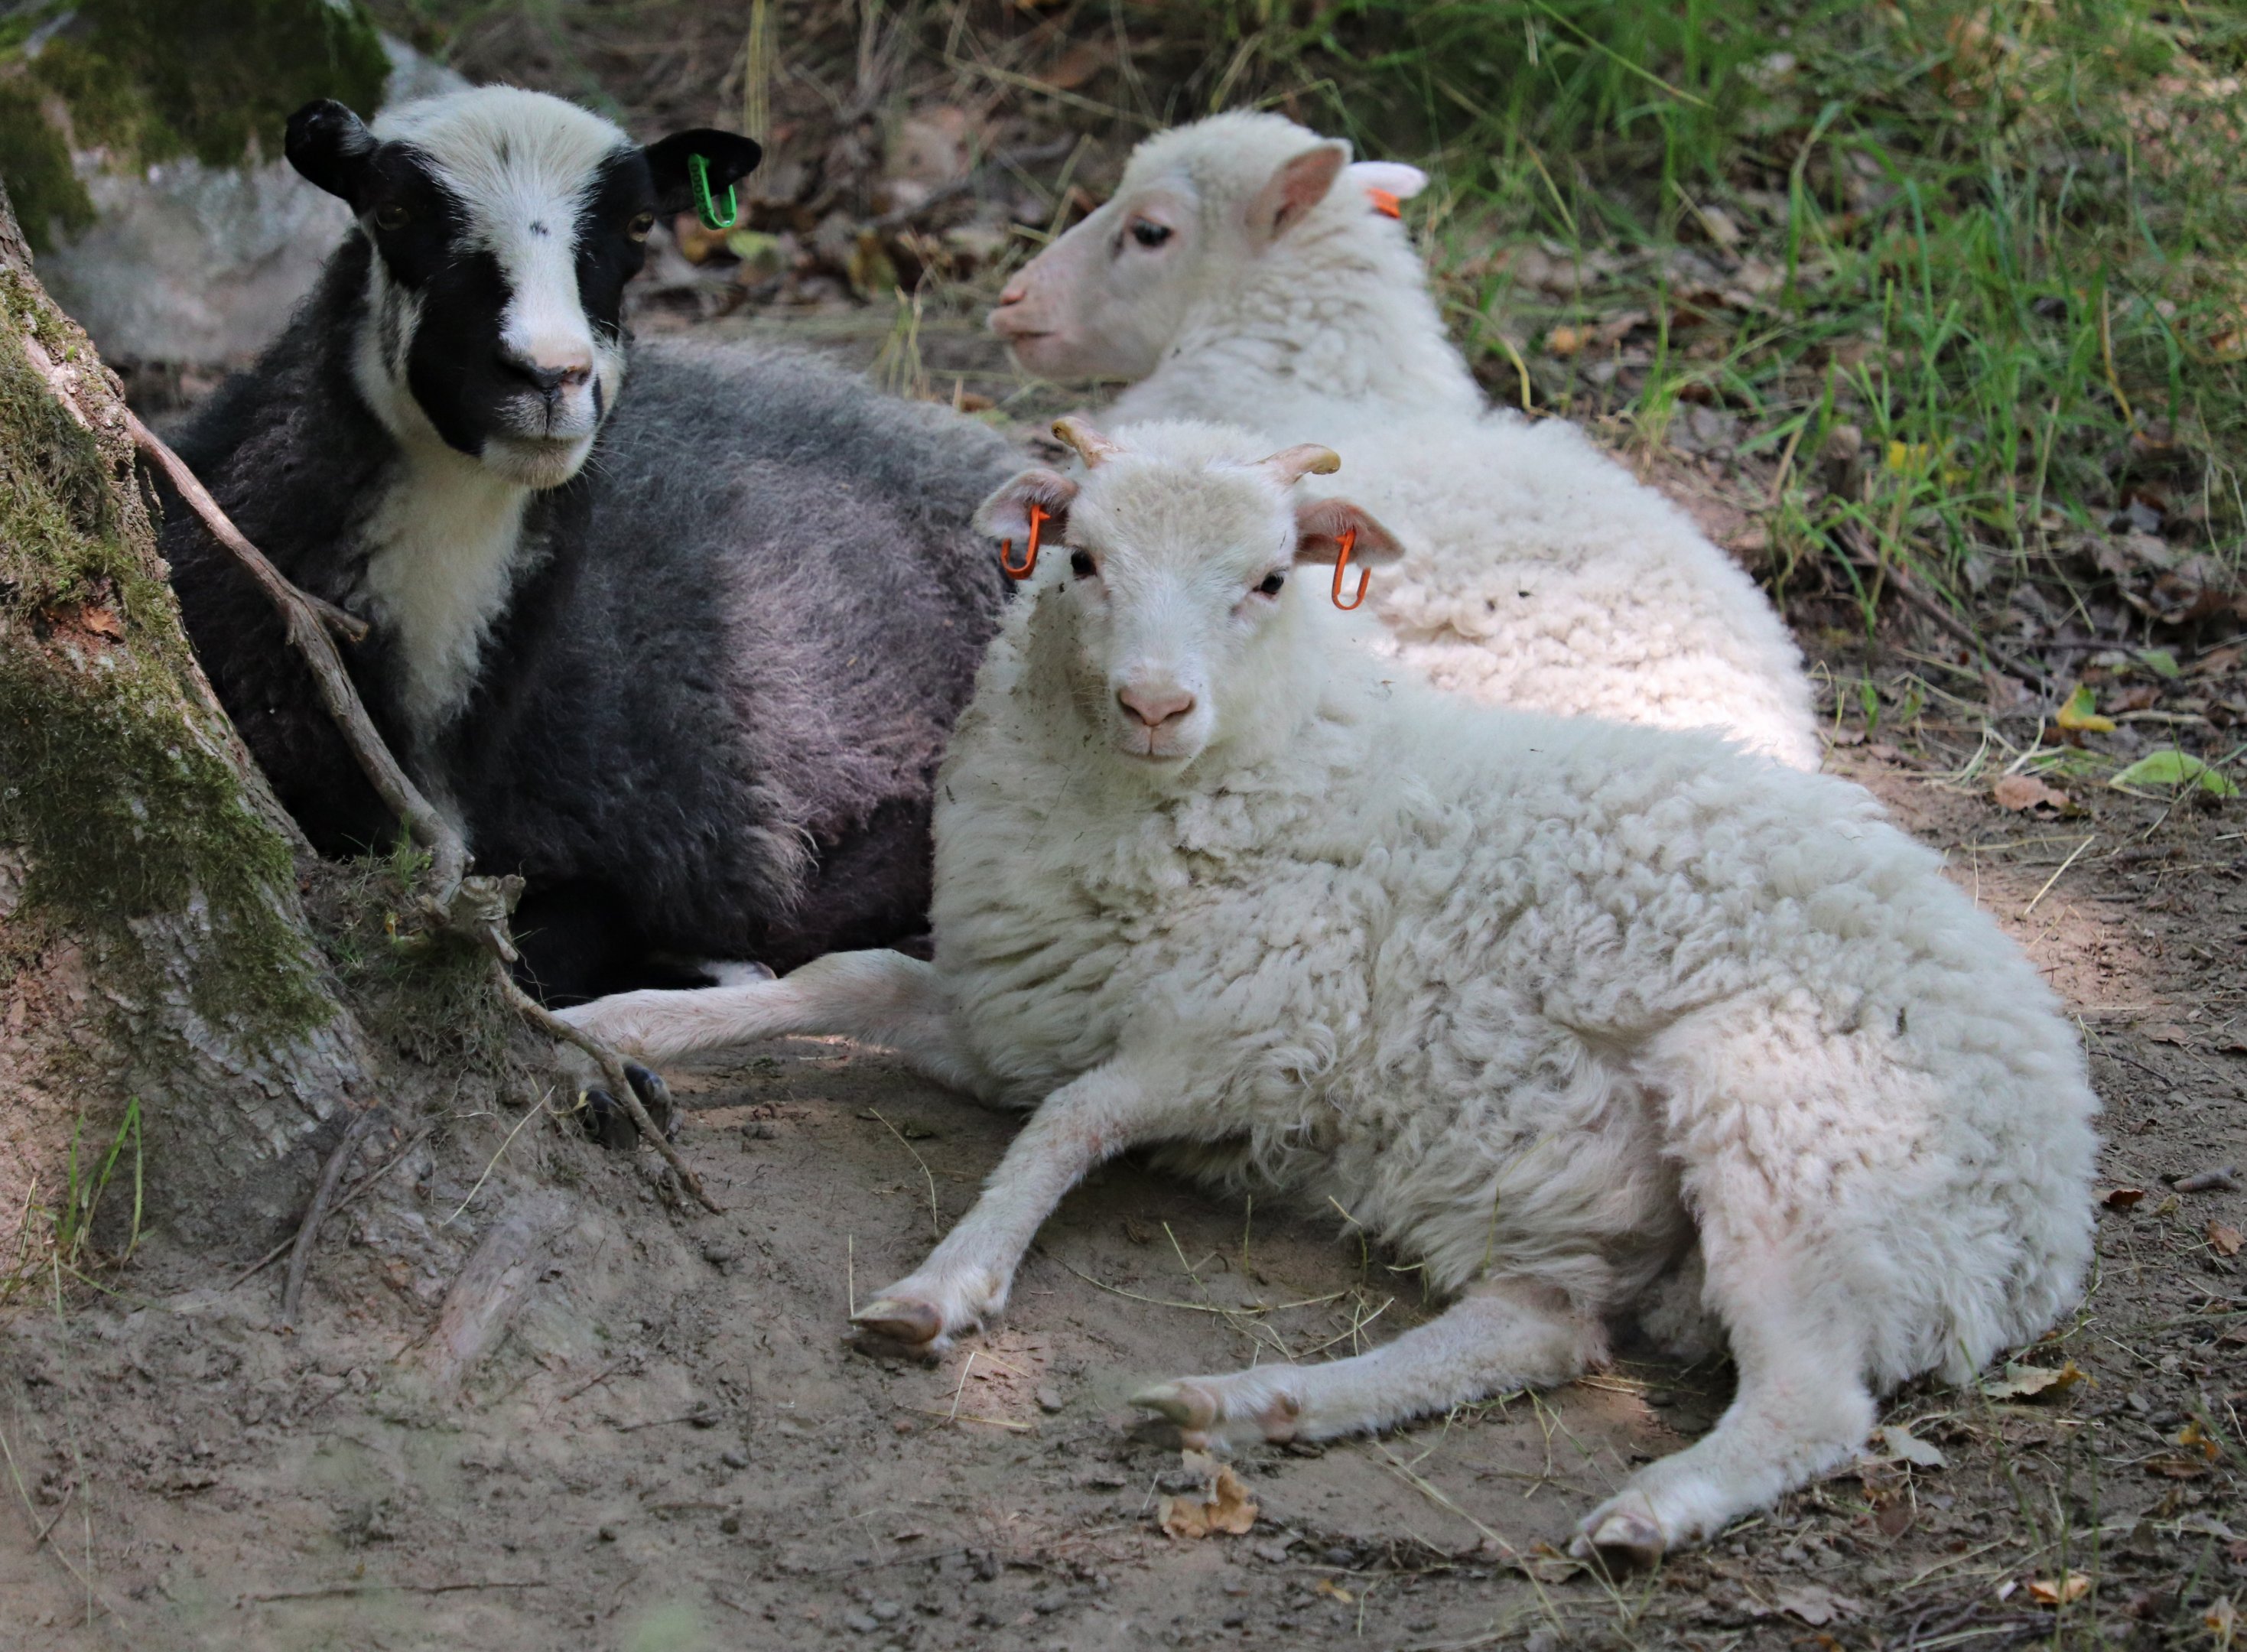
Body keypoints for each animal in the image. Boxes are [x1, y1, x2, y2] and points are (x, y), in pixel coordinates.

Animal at [560, 418, 2098, 1560]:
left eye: (1268, 580)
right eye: (1083, 561)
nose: (1155, 705)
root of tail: (2050, 1199)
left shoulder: (1243, 1037)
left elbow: (1062, 1126)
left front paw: (946, 1286)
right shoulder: (1021, 1007)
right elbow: (848, 973)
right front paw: (607, 1027)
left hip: (1795, 1151)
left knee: (1808, 1404)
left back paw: (1646, 1510)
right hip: (1581, 1194)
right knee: (1541, 1330)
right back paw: (1245, 1405)